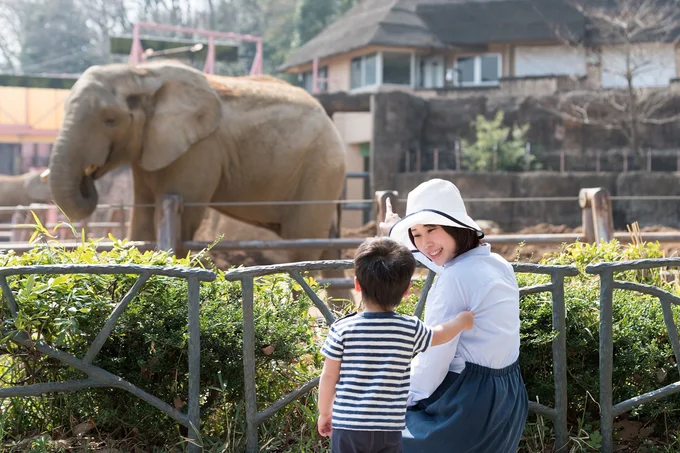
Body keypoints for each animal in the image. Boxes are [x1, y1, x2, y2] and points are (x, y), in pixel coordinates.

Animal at [45, 60, 348, 272]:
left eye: (109, 120)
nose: (89, 174)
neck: (141, 73)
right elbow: (141, 225)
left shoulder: (200, 151)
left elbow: (183, 228)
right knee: (328, 246)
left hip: (320, 169)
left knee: (303, 246)